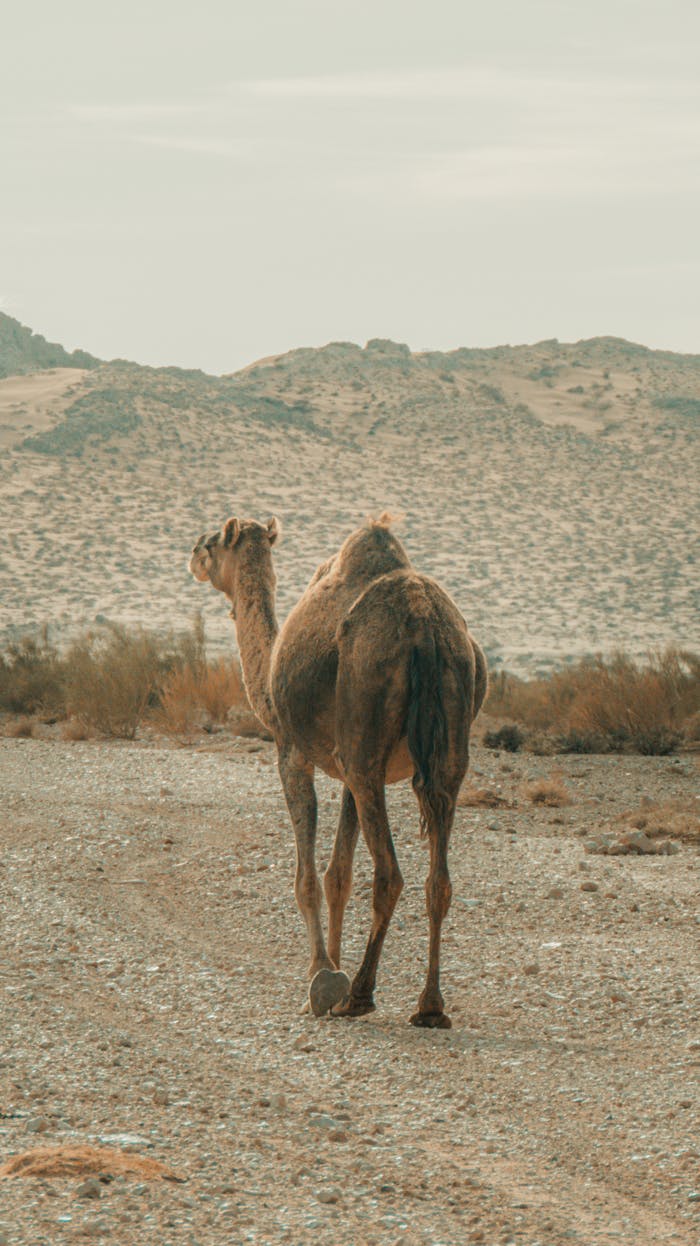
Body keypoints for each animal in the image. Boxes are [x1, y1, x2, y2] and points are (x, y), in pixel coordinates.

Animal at [189, 513, 487, 1028]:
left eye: (213, 544)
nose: (192, 552)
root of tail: (426, 628)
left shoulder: (291, 750)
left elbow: (308, 876)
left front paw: (321, 980)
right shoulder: (350, 769)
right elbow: (339, 875)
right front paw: (330, 969)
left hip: (365, 720)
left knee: (390, 875)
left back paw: (361, 996)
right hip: (445, 745)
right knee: (439, 879)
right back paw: (429, 1007)